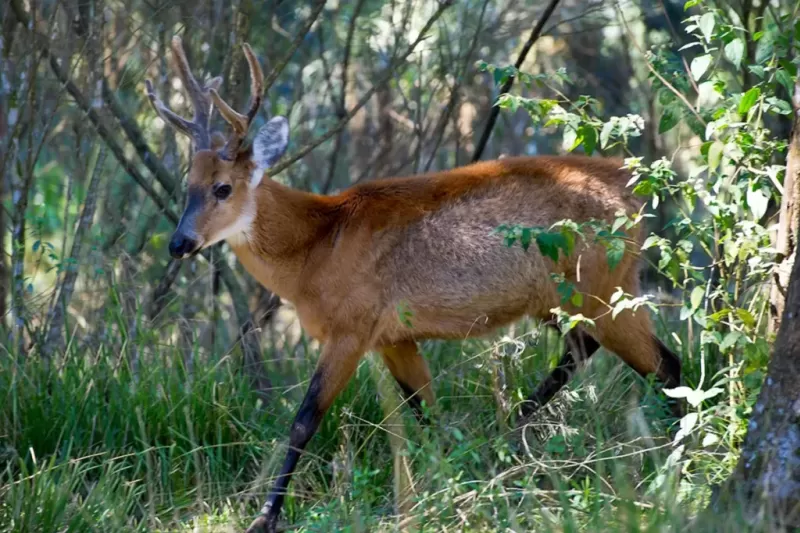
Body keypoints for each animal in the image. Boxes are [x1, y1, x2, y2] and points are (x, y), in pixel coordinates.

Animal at [146, 37, 681, 533]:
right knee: (584, 348)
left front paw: (265, 517)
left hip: (604, 287)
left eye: (223, 188)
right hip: (562, 298)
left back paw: (672, 466)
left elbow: (303, 420)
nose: (178, 243)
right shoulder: (395, 336)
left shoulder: (353, 327)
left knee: (665, 364)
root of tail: (634, 188)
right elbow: (426, 414)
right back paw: (505, 436)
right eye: (186, 186)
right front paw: (445, 485)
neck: (318, 248)